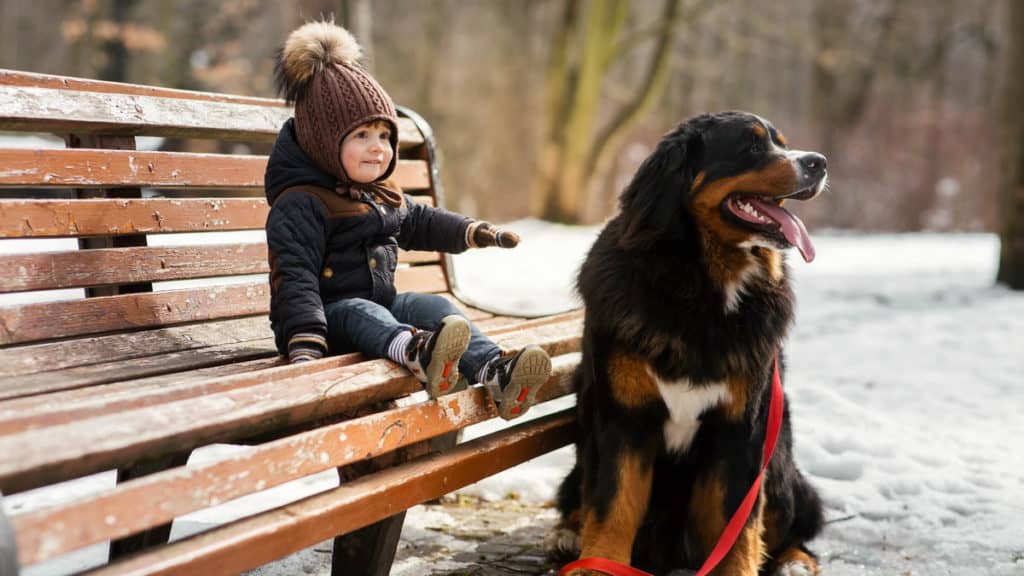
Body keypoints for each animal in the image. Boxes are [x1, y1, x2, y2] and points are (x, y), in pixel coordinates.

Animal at [548, 109, 827, 569]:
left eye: (782, 144)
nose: (818, 162)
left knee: (790, 526)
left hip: (782, 459)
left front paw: (739, 570)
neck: (700, 288)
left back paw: (795, 563)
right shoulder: (624, 417)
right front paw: (598, 565)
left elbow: (739, 523)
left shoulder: (741, 427)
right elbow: (613, 505)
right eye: (752, 145)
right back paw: (567, 537)